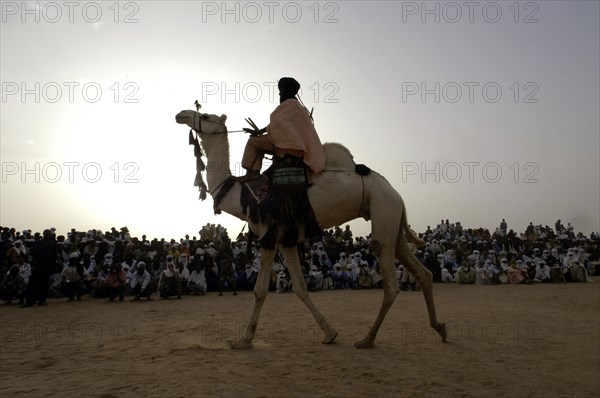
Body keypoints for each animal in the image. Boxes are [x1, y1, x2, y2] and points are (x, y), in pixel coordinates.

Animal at [173, 109, 446, 348]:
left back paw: (367, 339)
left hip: (383, 211)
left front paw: (243, 341)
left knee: (390, 284)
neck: (243, 196)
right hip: (391, 221)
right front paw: (330, 333)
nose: (181, 114)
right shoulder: (287, 238)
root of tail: (396, 194)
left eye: (205, 115)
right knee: (422, 272)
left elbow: (260, 290)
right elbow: (300, 288)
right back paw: (440, 328)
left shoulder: (270, 234)